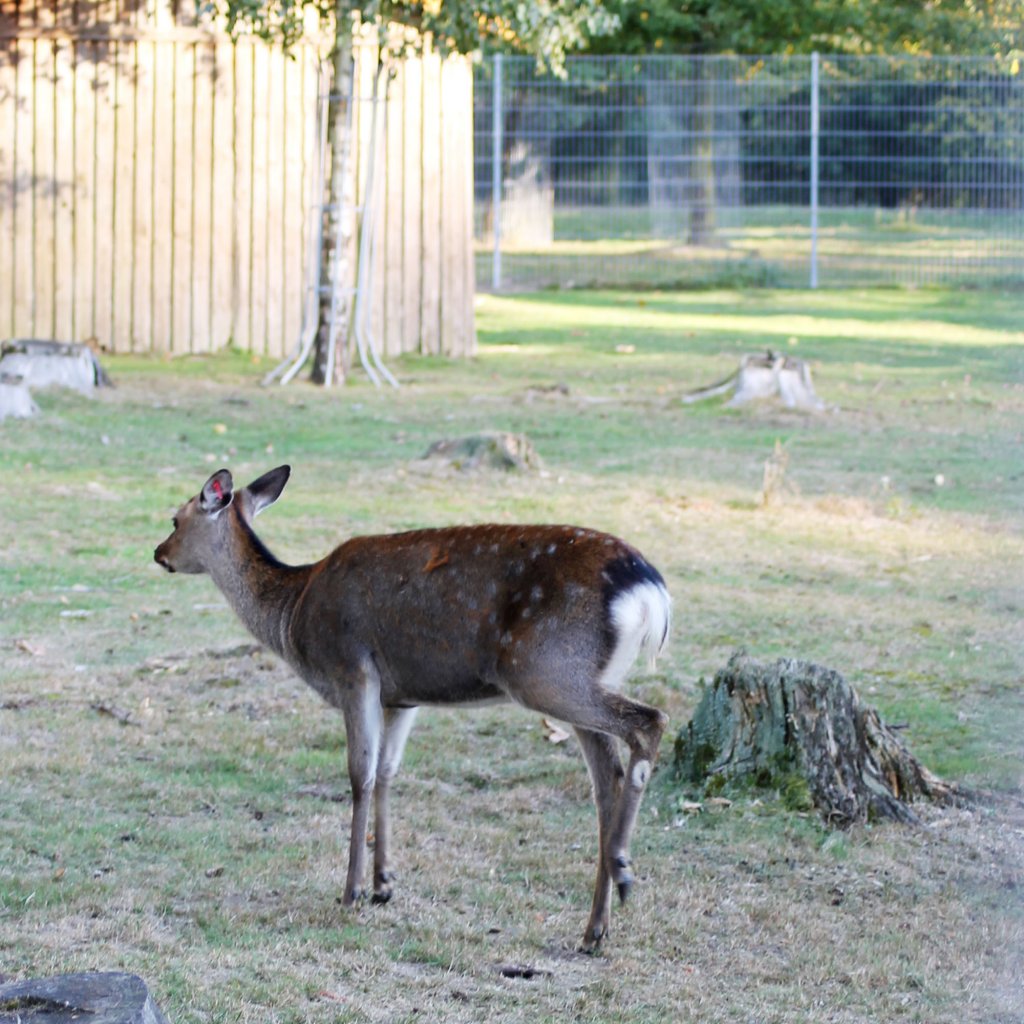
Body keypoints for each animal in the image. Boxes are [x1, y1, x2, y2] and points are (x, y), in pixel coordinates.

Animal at [155, 466, 671, 950]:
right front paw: (384, 883)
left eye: (176, 519)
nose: (158, 553)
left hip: (545, 671)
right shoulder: (402, 696)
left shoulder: (353, 668)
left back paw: (623, 870)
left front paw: (351, 891)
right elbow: (387, 771)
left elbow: (360, 775)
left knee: (650, 722)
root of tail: (651, 593)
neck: (292, 610)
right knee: (606, 779)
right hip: (582, 676)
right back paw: (595, 928)